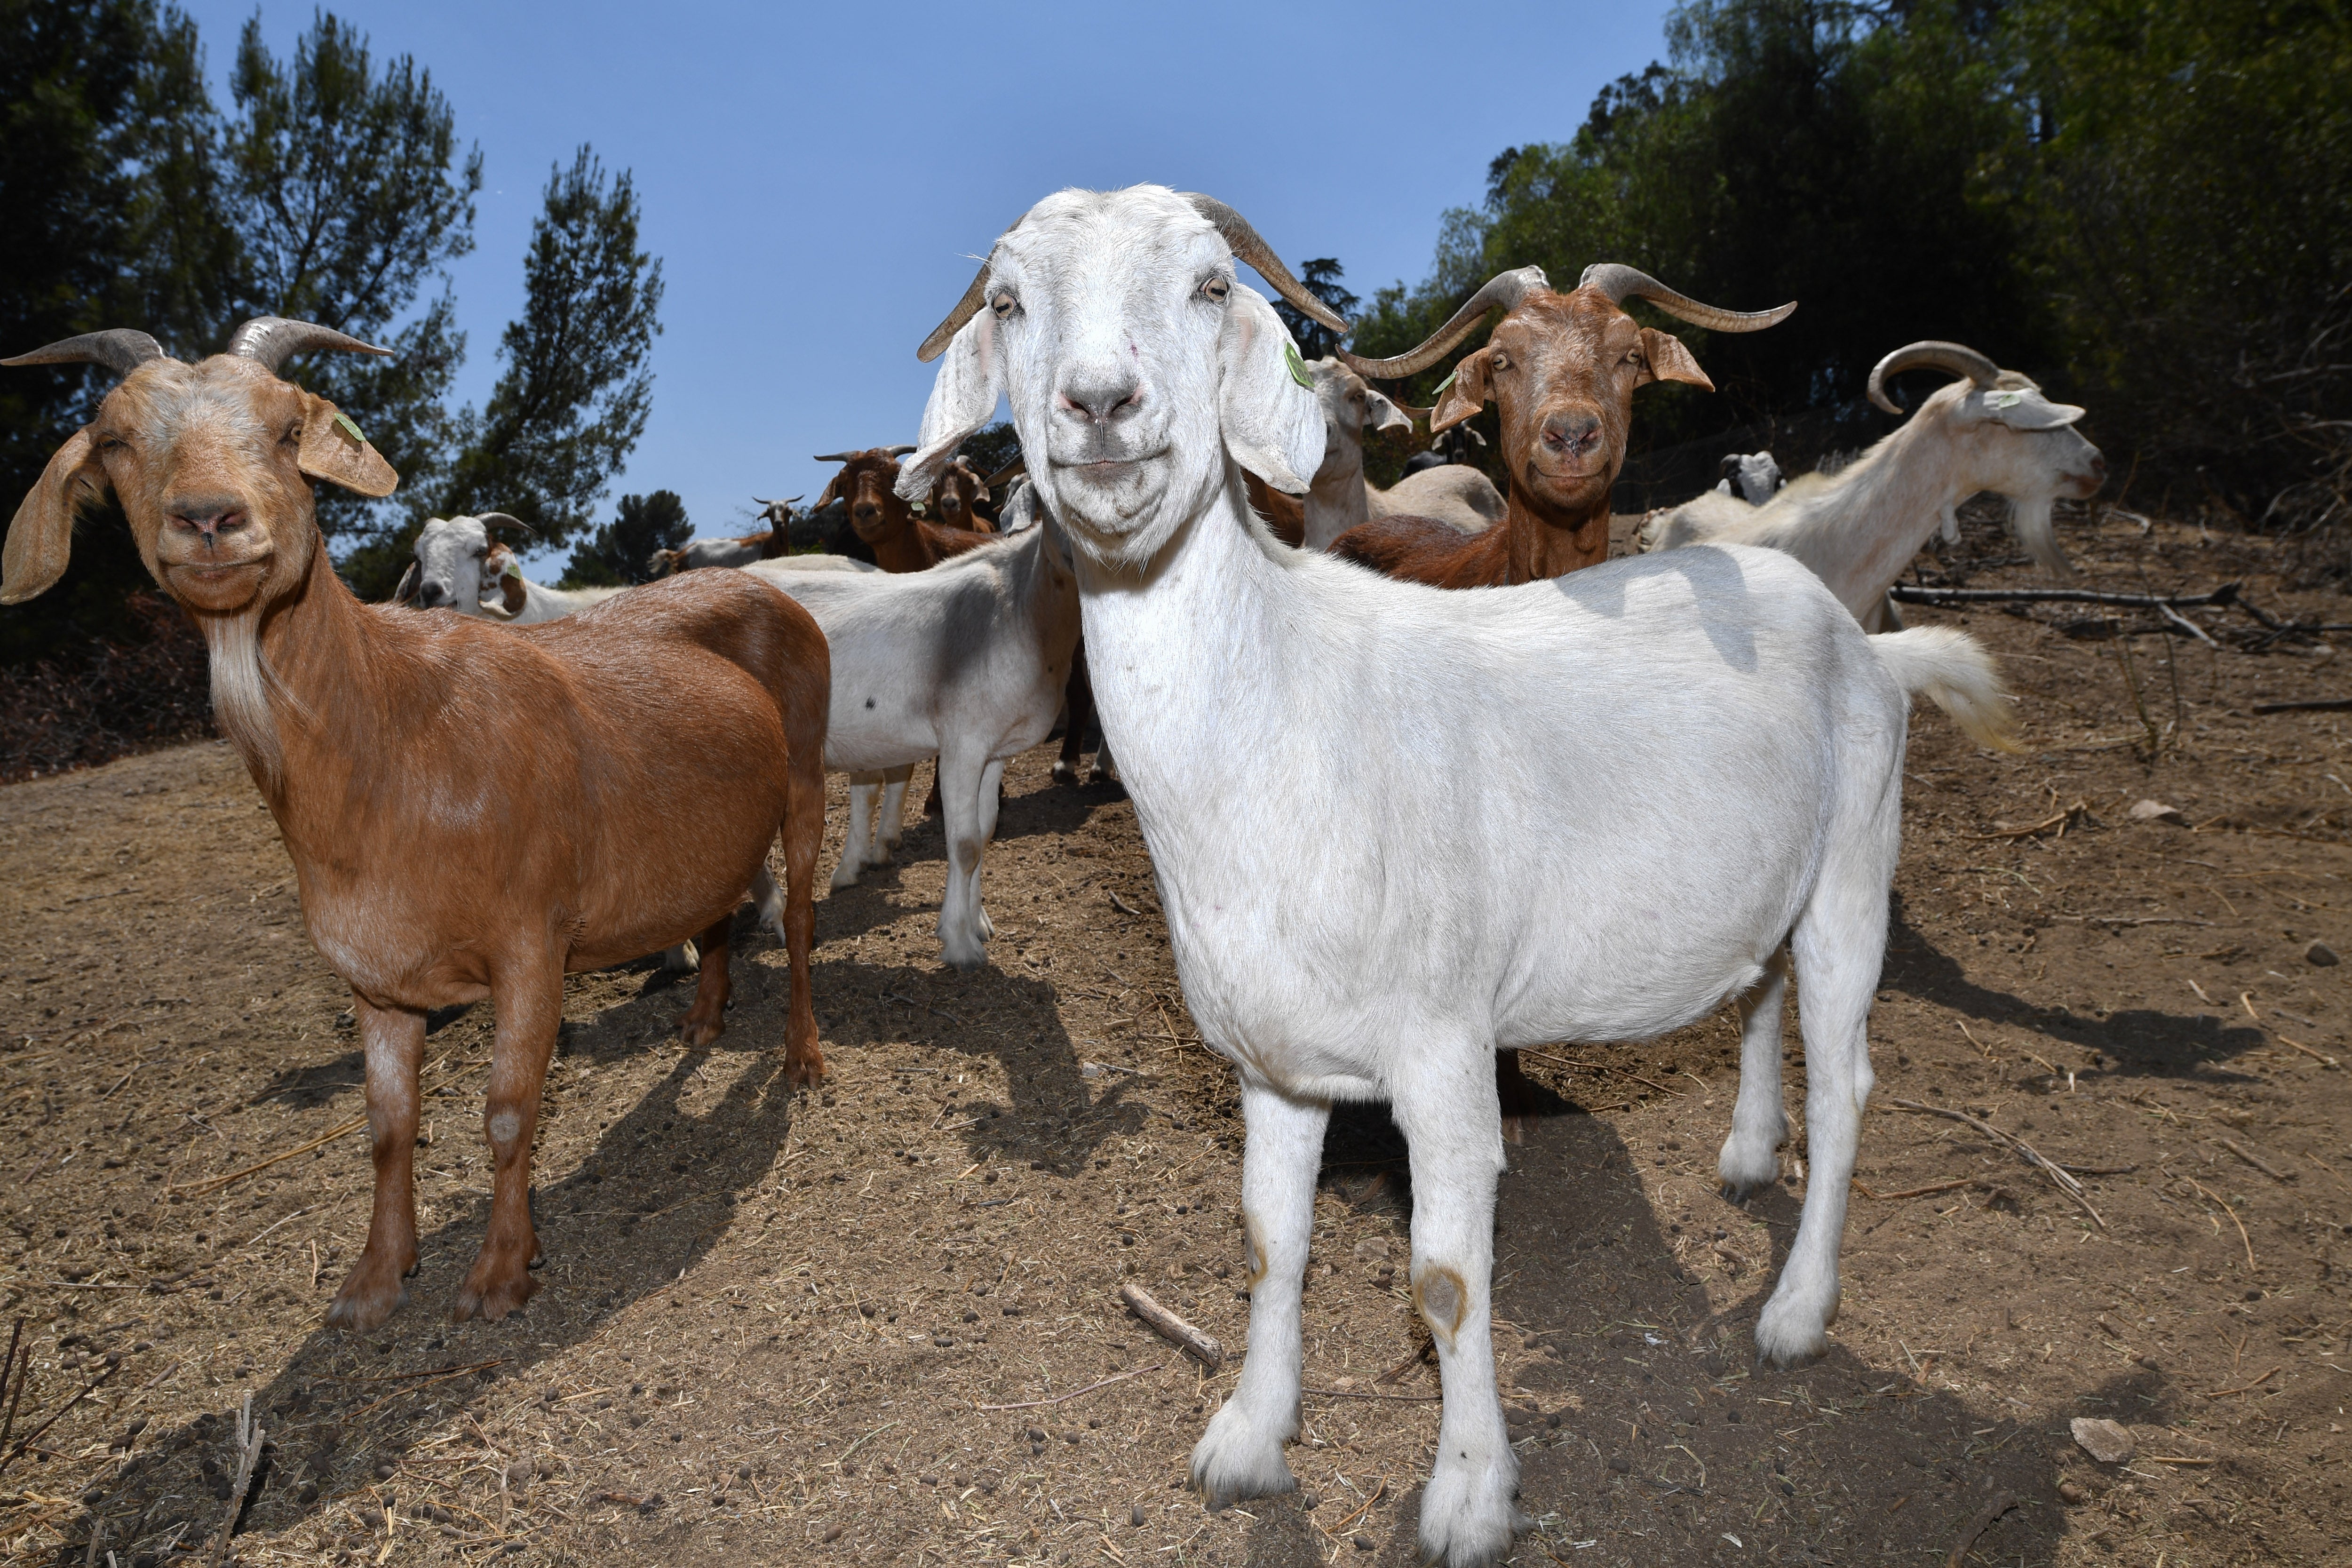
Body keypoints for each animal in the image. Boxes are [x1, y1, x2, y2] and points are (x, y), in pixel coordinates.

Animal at [3, 320, 831, 1331]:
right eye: (116, 439)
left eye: (290, 427)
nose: (208, 518)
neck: (396, 731)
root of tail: (772, 591)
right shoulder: (375, 974)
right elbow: (388, 1128)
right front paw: (373, 1279)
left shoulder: (531, 941)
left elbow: (509, 1110)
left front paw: (502, 1273)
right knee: (716, 906)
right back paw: (706, 1020)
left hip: (806, 775)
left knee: (799, 920)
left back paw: (801, 1057)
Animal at [745, 518, 1080, 969]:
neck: (1021, 607)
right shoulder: (962, 742)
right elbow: (965, 844)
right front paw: (960, 943)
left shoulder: (994, 749)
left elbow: (985, 831)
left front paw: (975, 922)